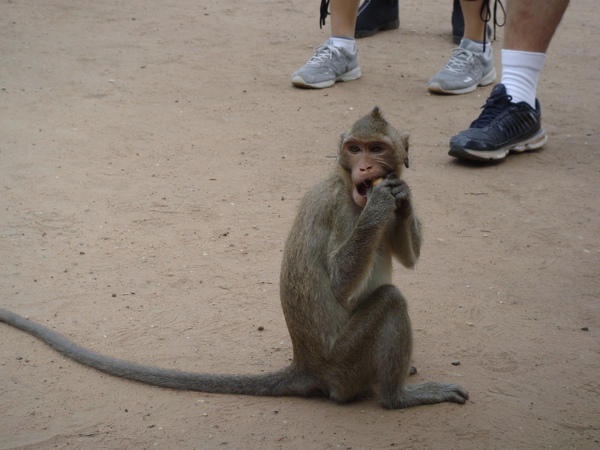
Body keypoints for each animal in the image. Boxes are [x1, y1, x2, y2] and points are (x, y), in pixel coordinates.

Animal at [0, 107, 468, 410]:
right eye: (354, 149)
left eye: (377, 148)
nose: (366, 170)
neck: (345, 183)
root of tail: (307, 365)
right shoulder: (342, 208)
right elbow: (338, 281)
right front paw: (379, 206)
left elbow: (408, 256)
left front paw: (402, 198)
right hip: (344, 365)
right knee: (391, 301)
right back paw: (396, 399)